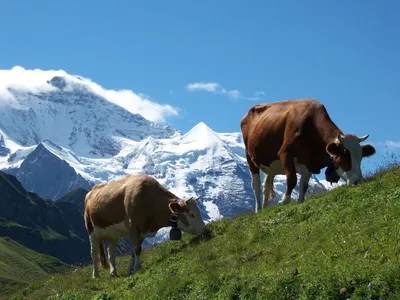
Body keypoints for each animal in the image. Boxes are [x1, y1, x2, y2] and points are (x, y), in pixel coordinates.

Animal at [241, 98, 376, 211]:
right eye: (343, 156)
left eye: (360, 158)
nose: (357, 181)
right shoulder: (285, 154)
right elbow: (292, 179)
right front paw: (284, 201)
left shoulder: (309, 163)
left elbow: (304, 185)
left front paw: (300, 201)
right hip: (249, 157)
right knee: (256, 185)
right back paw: (258, 209)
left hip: (271, 165)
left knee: (267, 185)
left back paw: (265, 208)